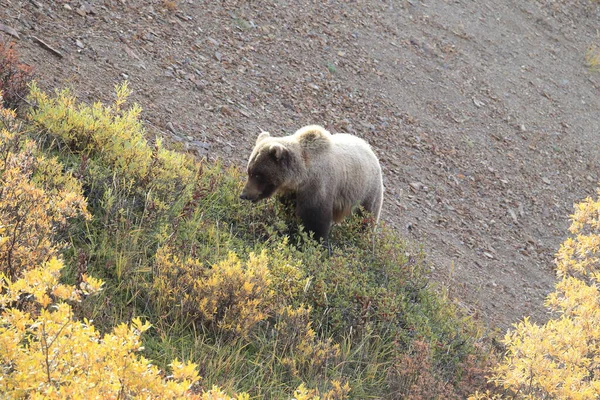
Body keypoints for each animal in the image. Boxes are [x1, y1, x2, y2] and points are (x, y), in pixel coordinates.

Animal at [240, 125, 384, 242]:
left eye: (258, 175)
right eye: (249, 171)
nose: (244, 194)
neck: (302, 176)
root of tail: (372, 152)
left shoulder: (319, 186)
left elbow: (315, 219)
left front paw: (313, 240)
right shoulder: (292, 191)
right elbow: (288, 208)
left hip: (366, 191)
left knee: (365, 219)